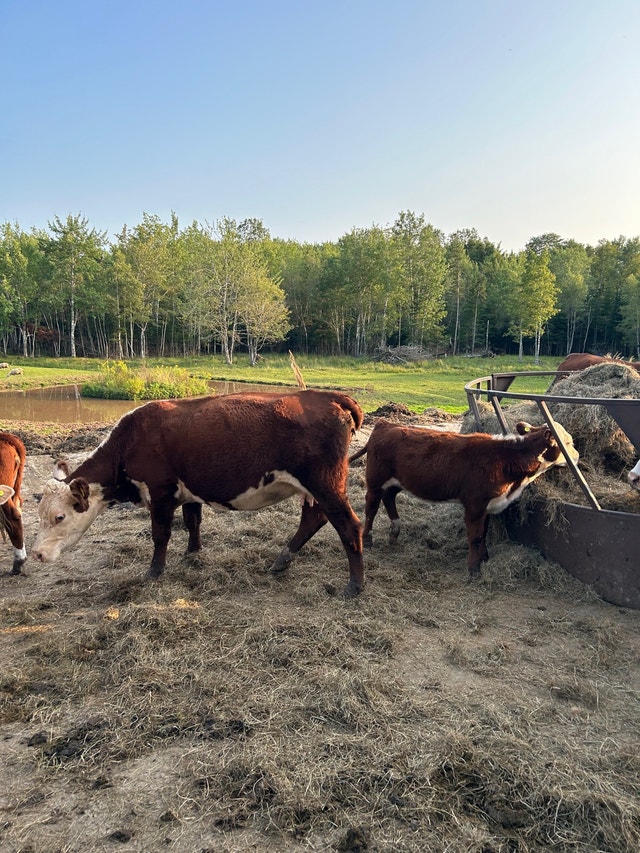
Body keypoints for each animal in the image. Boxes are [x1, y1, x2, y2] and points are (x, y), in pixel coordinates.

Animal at [31, 390, 366, 597]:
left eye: (59, 516)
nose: (36, 554)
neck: (130, 440)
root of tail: (327, 395)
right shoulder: (188, 492)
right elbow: (193, 521)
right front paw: (193, 553)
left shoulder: (160, 492)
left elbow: (161, 534)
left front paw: (154, 571)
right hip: (313, 488)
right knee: (314, 518)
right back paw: (282, 560)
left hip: (325, 484)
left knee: (348, 525)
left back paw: (355, 585)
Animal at [349, 419, 579, 579]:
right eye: (567, 442)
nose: (577, 457)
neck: (506, 458)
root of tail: (386, 424)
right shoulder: (475, 506)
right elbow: (474, 537)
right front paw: (474, 569)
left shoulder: (487, 507)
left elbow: (483, 534)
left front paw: (484, 558)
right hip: (375, 481)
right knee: (371, 507)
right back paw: (368, 539)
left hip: (396, 481)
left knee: (389, 498)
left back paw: (395, 532)